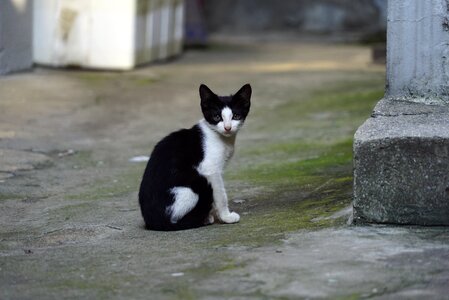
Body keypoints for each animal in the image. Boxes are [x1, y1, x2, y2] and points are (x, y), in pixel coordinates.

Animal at [138, 83, 250, 231]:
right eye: (217, 117)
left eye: (236, 116)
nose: (227, 128)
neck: (221, 137)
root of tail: (152, 220)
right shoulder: (210, 170)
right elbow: (220, 195)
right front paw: (225, 217)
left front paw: (211, 215)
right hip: (190, 188)